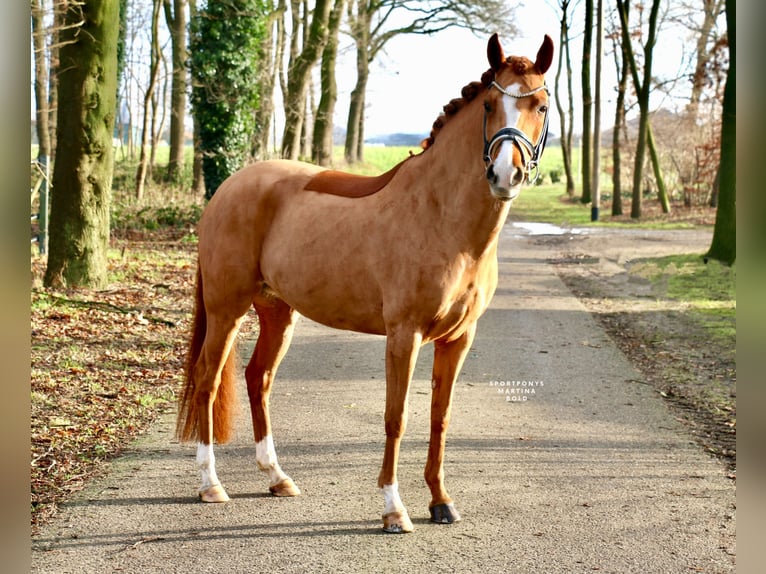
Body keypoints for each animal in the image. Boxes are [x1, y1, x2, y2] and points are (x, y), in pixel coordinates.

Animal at [177, 33, 556, 532]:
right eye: (492, 104)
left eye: (541, 105)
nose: (504, 175)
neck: (442, 218)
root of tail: (227, 189)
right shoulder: (403, 334)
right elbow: (397, 417)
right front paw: (394, 509)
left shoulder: (459, 338)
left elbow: (440, 417)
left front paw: (440, 501)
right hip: (227, 310)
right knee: (207, 378)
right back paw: (210, 484)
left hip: (278, 311)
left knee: (258, 378)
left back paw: (277, 477)